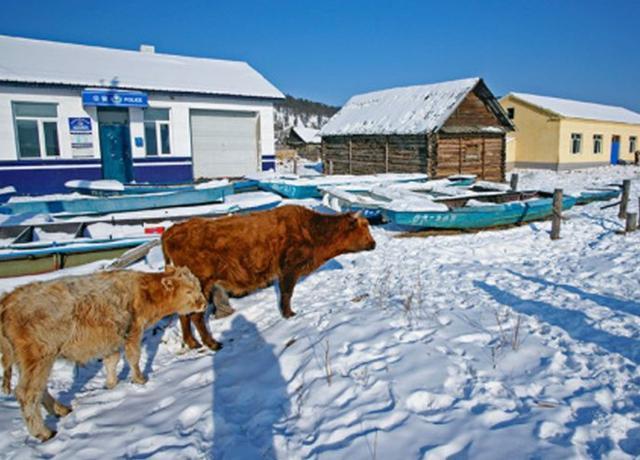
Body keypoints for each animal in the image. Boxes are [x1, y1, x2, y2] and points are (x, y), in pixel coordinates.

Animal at [0, 266, 206, 442]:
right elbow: (133, 357)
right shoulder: (133, 331)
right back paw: (43, 432)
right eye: (189, 291)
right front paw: (140, 379)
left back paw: (61, 410)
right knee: (27, 392)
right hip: (39, 357)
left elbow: (112, 361)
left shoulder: (111, 341)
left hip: (31, 361)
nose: (203, 303)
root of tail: (8, 298)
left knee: (39, 389)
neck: (145, 292)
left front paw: (111, 385)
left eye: (198, 287)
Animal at [162, 203, 378, 350]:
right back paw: (213, 344)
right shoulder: (289, 270)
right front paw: (289, 314)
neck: (310, 230)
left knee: (184, 315)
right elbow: (287, 293)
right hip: (202, 285)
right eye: (363, 227)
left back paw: (192, 343)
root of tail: (172, 230)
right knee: (196, 316)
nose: (374, 243)